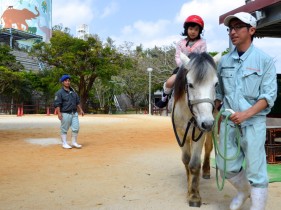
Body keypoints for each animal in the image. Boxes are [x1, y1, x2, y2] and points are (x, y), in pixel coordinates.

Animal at [171, 51, 221, 207]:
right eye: (190, 84)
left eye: (215, 84)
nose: (207, 123)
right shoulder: (180, 134)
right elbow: (187, 160)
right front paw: (189, 189)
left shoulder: (200, 132)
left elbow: (194, 164)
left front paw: (194, 195)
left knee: (209, 147)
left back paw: (206, 171)